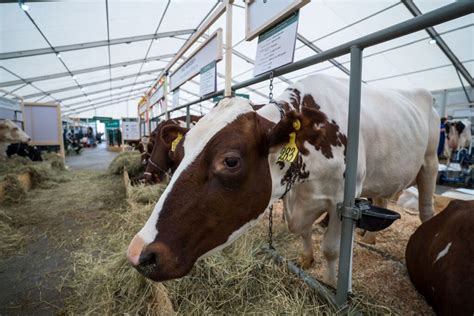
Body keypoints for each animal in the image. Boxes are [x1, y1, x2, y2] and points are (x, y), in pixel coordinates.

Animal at [128, 74, 438, 284]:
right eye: (179, 153)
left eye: (230, 161)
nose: (137, 253)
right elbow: (300, 229)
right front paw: (305, 258)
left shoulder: (343, 199)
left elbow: (332, 249)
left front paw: (333, 283)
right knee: (383, 197)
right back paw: (371, 238)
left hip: (430, 162)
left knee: (426, 209)